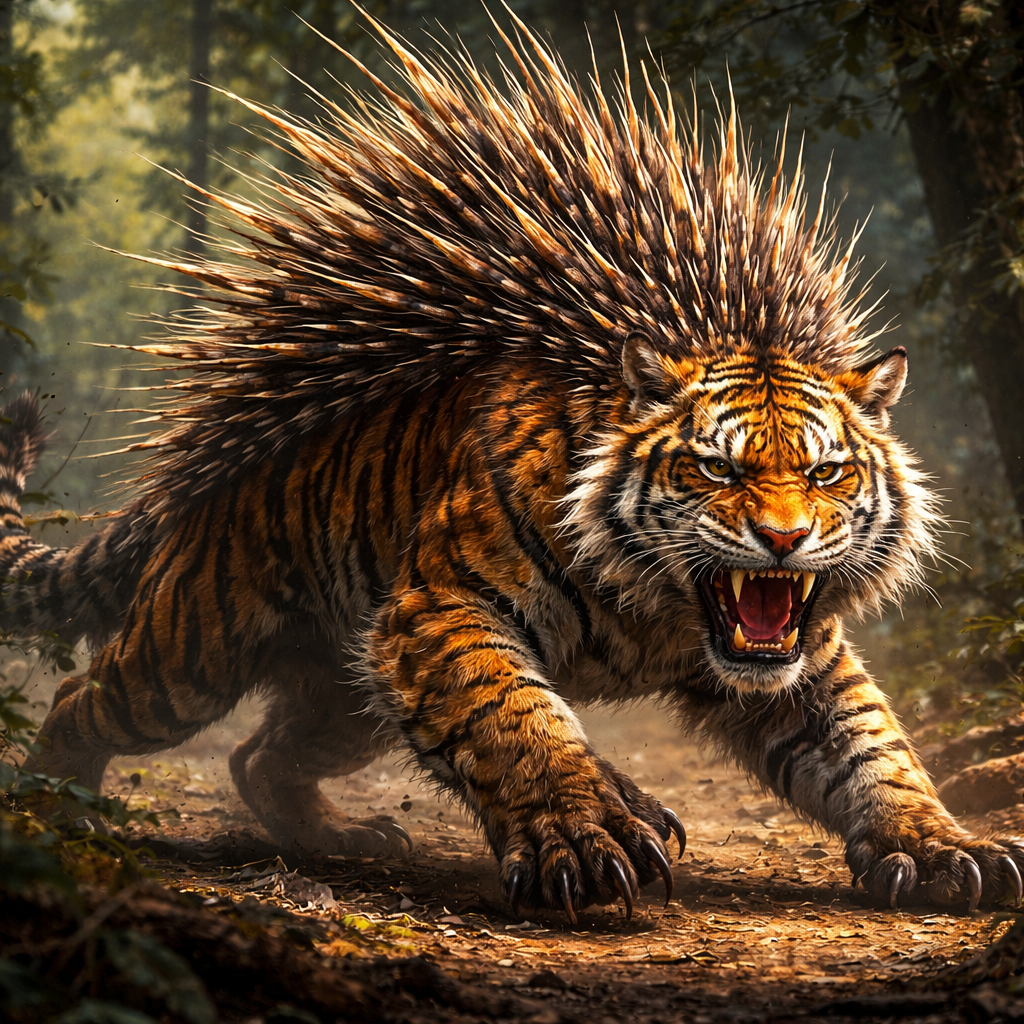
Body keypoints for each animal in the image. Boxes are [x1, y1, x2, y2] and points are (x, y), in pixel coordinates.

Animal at [2, 11, 1022, 920]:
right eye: (717, 470)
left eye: (825, 474)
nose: (784, 540)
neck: (665, 613)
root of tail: (207, 470)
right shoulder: (438, 610)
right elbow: (514, 719)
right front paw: (587, 838)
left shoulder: (802, 655)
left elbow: (872, 745)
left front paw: (944, 848)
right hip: (192, 654)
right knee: (87, 695)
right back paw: (52, 806)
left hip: (341, 692)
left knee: (261, 756)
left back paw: (346, 837)